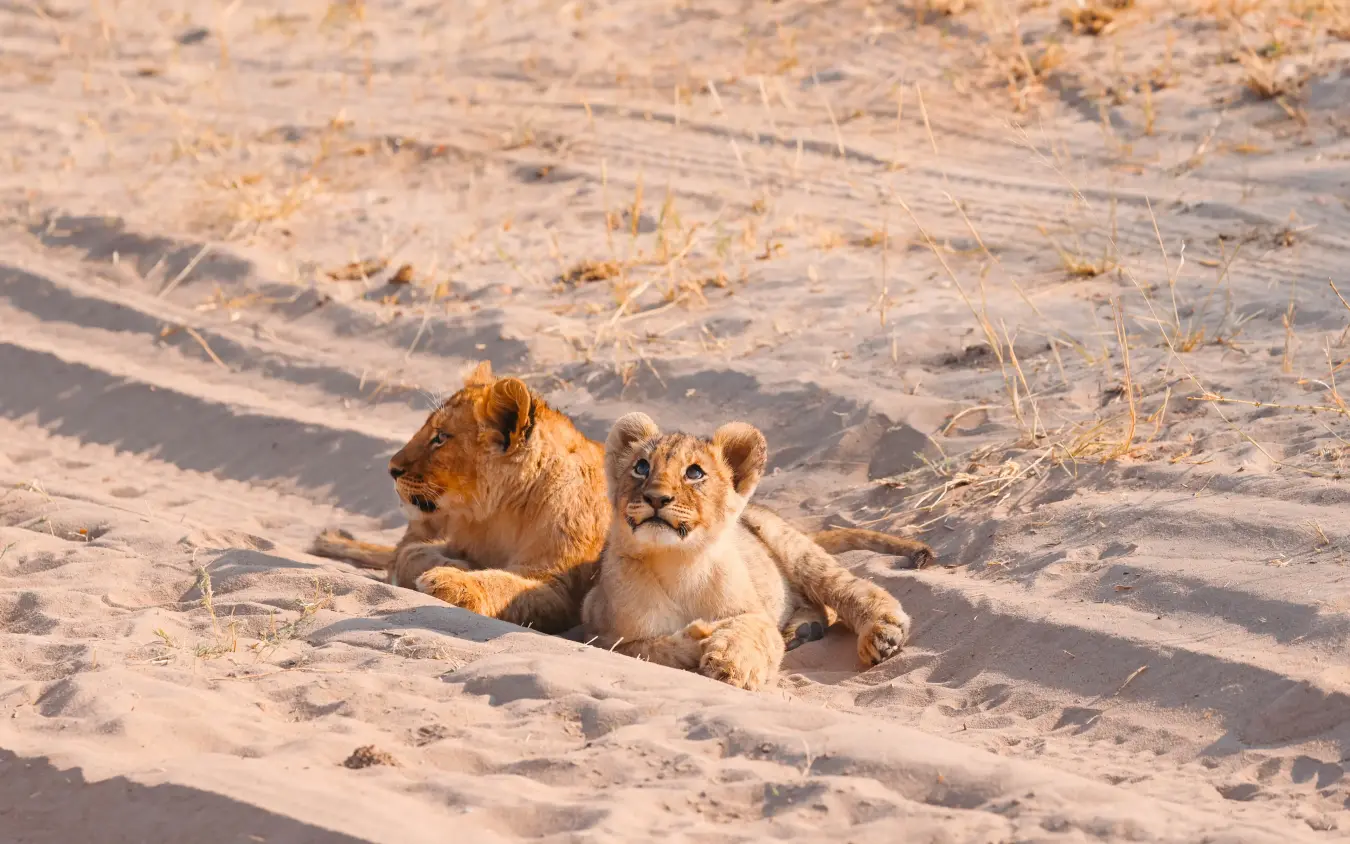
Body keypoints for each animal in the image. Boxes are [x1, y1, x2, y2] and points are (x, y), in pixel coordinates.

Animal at [314, 363, 933, 643]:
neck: (496, 512)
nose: (392, 469)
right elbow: (410, 554)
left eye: (440, 437)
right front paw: (440, 564)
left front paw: (452, 580)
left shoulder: (564, 587)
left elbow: (506, 584)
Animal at [580, 412, 922, 691]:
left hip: (793, 549)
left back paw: (882, 633)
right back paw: (804, 630)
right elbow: (653, 650)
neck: (675, 561)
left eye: (694, 473)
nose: (655, 497)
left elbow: (752, 631)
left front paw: (731, 665)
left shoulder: (755, 613)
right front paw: (700, 638)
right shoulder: (602, 635)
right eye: (641, 467)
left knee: (851, 590)